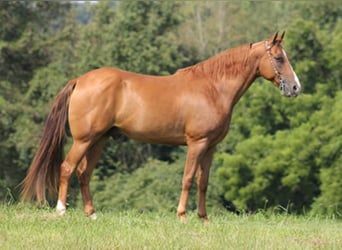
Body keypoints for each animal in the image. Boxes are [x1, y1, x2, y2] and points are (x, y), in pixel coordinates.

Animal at [20, 31, 300, 223]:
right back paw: (61, 210)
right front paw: (182, 216)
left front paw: (204, 219)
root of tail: (79, 80)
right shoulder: (196, 143)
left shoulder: (210, 147)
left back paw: (92, 214)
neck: (212, 87)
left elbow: (203, 182)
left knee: (83, 173)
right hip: (84, 140)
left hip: (99, 140)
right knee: (67, 168)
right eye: (278, 58)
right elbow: (187, 178)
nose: (296, 87)